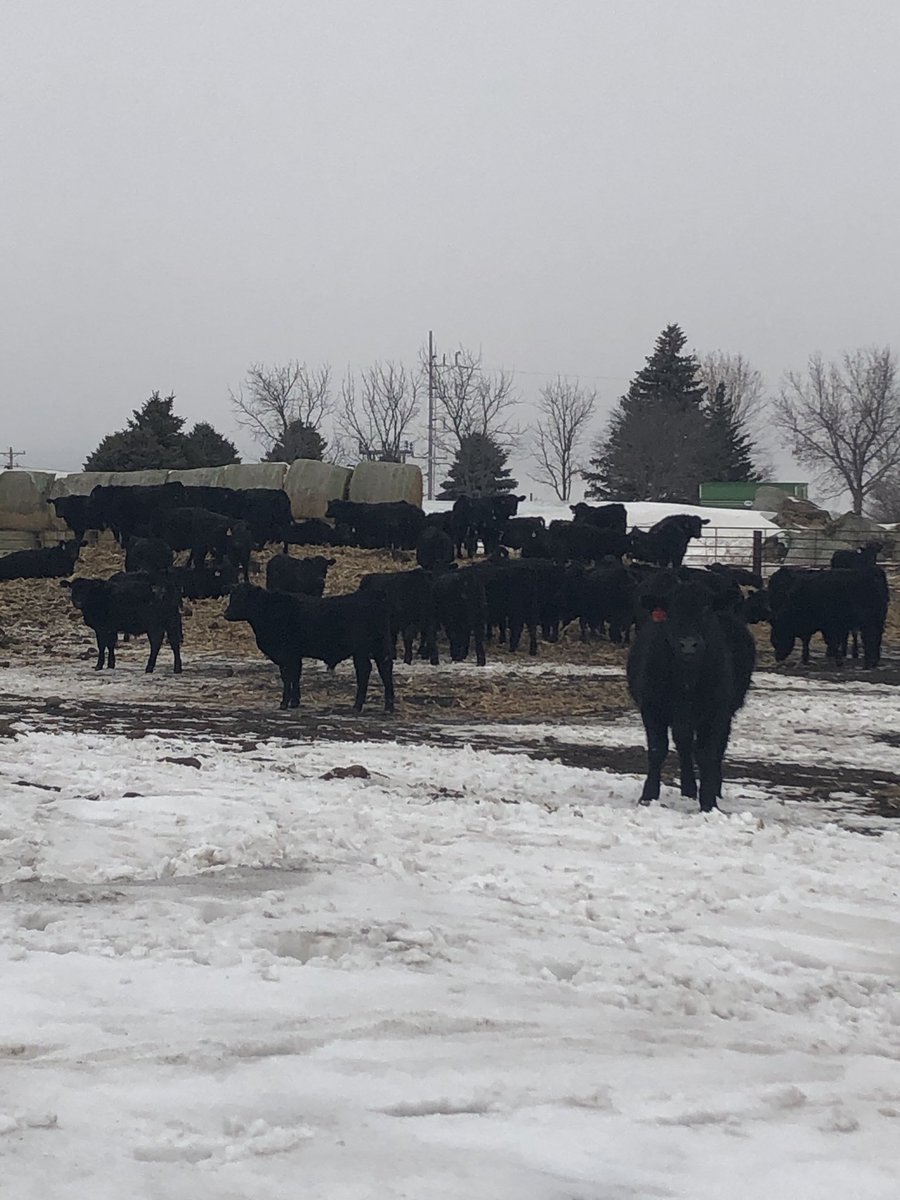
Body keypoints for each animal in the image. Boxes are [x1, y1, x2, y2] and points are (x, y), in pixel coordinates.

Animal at [223, 583, 394, 712]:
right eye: (232, 596)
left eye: (242, 597)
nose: (226, 614)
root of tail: (374, 595)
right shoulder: (295, 655)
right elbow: (295, 676)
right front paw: (295, 701)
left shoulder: (286, 655)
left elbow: (287, 677)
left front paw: (284, 703)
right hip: (380, 648)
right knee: (385, 669)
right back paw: (388, 707)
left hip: (361, 650)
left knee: (365, 671)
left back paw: (357, 706)